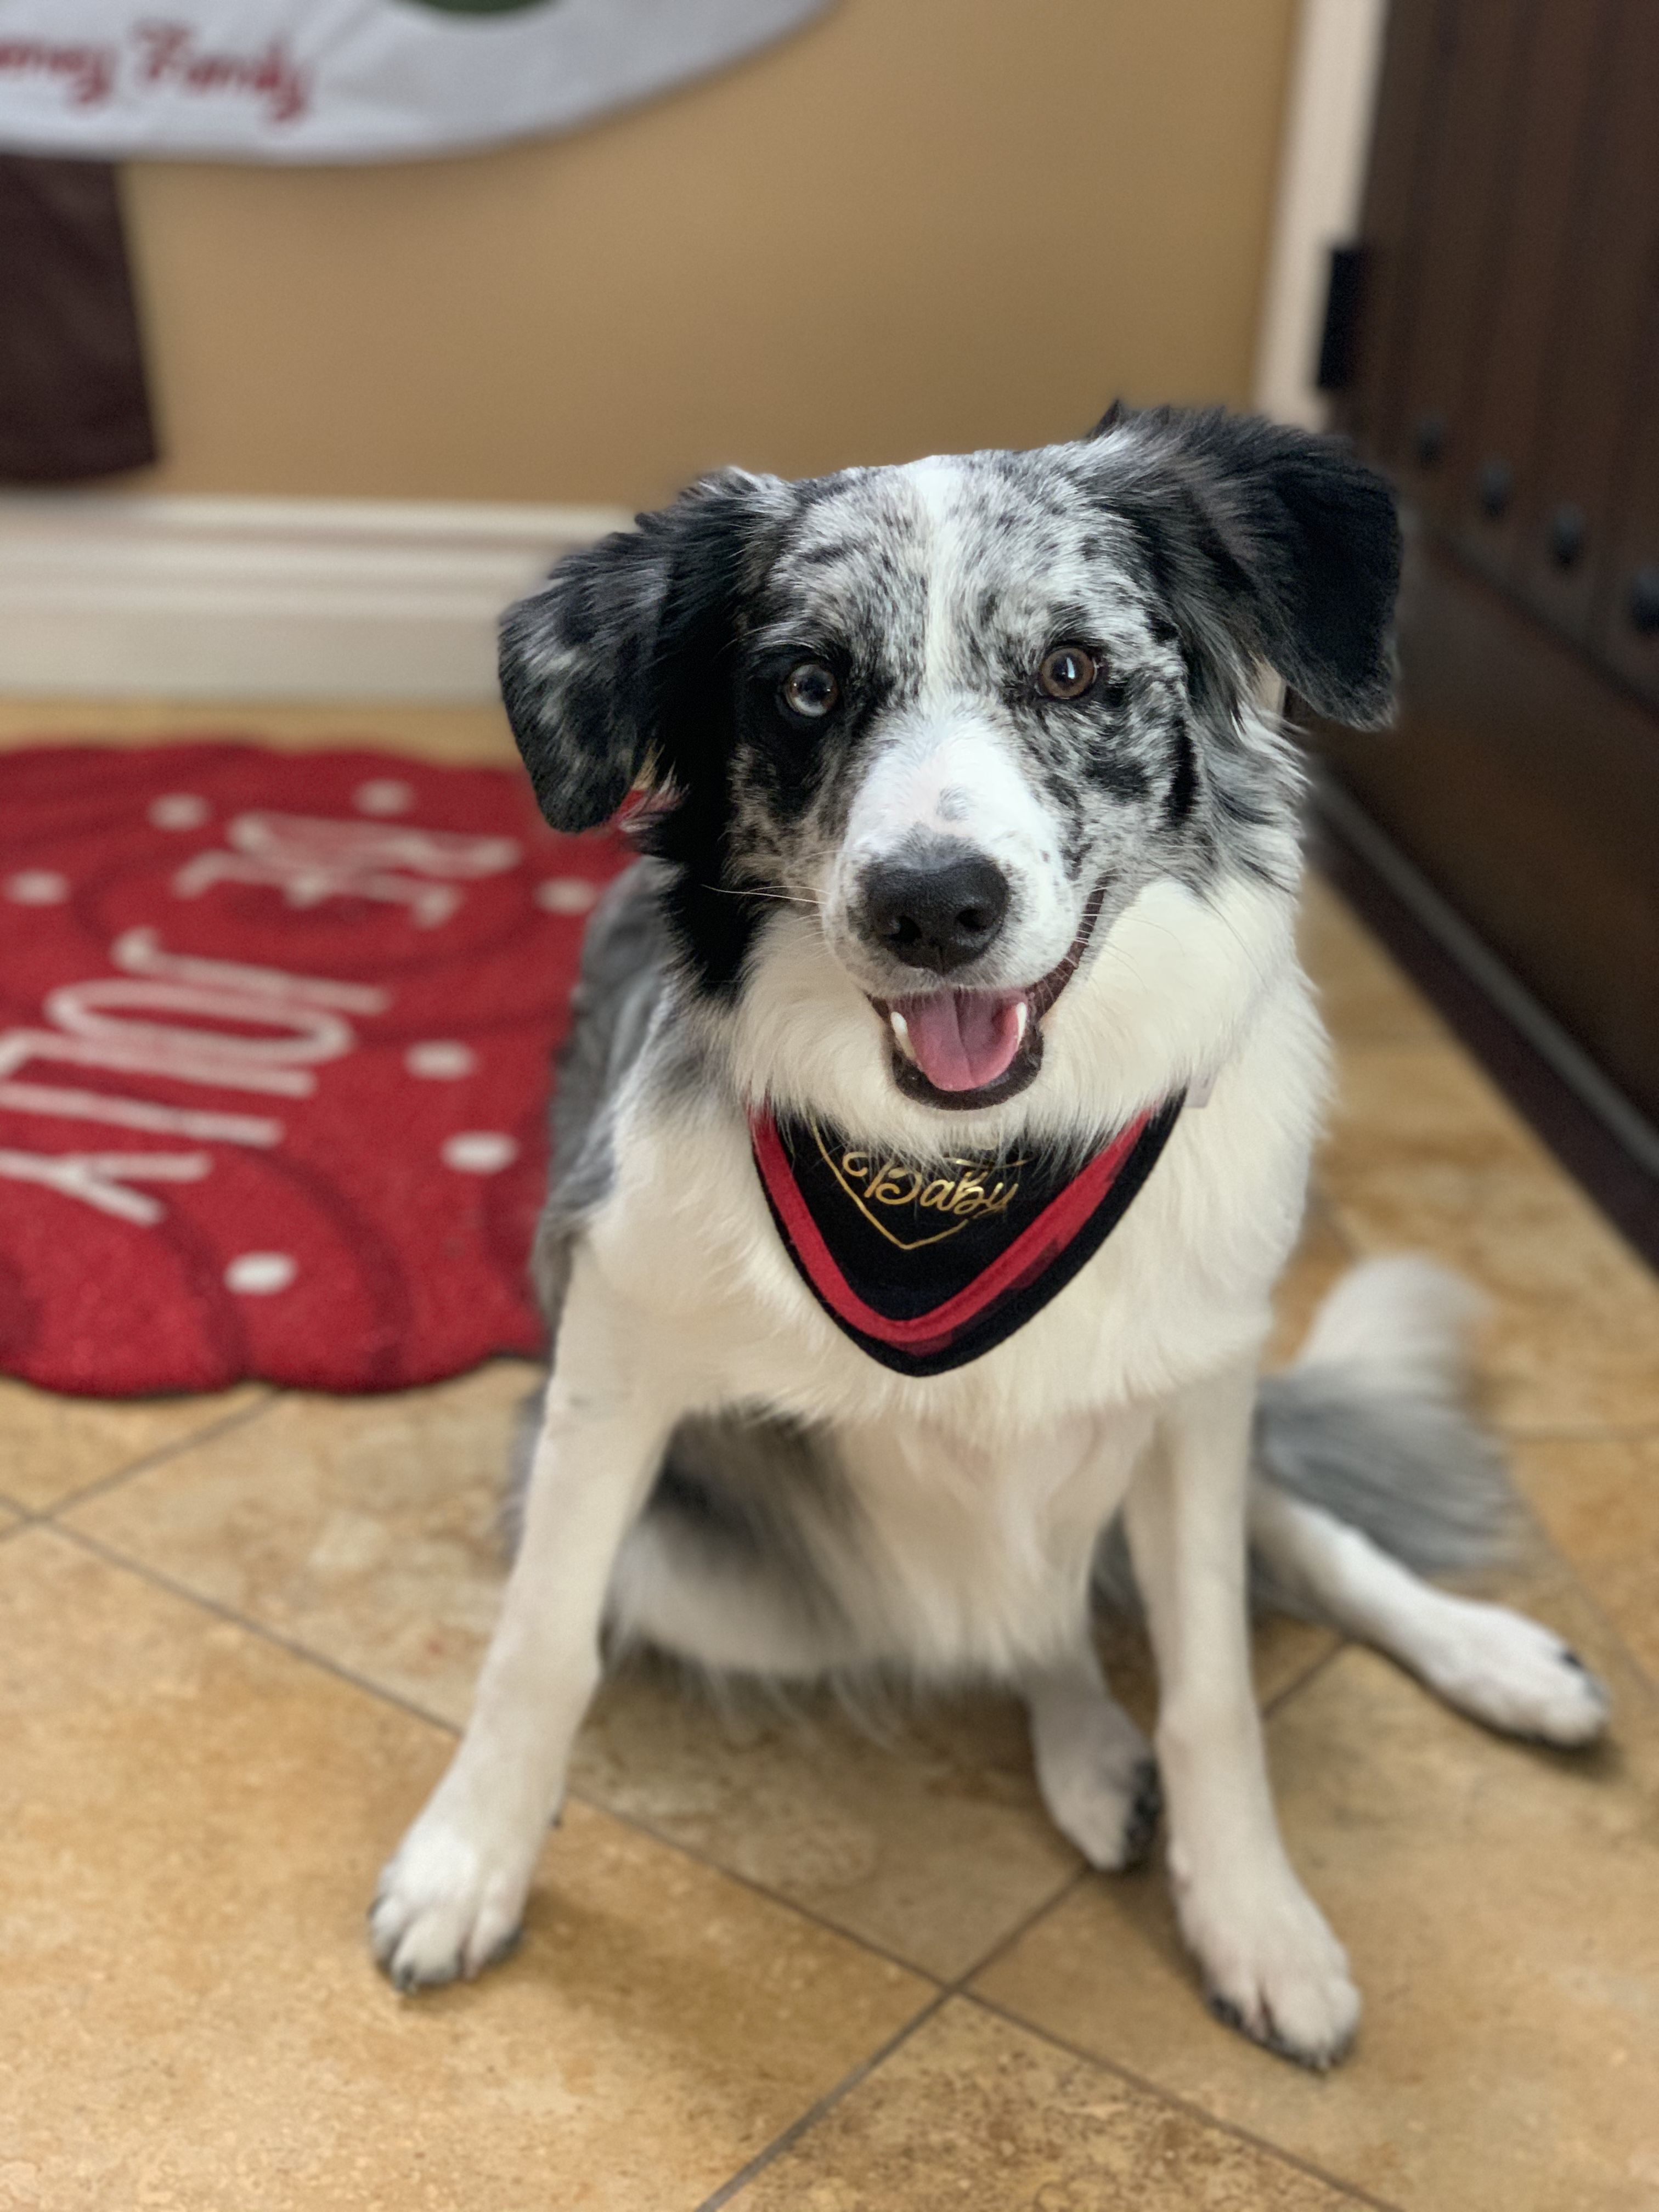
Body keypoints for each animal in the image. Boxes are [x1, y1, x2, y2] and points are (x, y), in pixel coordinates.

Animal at [371, 404, 1609, 2066]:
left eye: (1074, 670)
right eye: (808, 686)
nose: (932, 906)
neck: (958, 1175)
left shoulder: (1195, 1384)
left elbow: (1214, 1681)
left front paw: (1260, 1920)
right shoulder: (613, 1372)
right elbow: (537, 1640)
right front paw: (469, 1863)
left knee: (1272, 1536)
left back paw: (1495, 1661)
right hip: (719, 1581)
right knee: (1024, 1615)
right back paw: (1092, 1748)